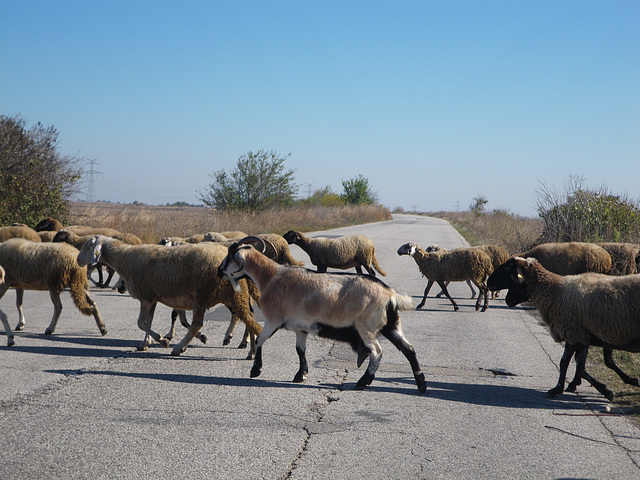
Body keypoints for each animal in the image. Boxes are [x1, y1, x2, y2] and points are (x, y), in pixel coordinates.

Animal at [76, 234, 262, 358]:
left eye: (88, 246)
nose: (77, 260)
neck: (125, 259)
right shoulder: (151, 298)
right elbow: (147, 322)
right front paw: (144, 344)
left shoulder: (145, 297)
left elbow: (141, 323)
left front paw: (162, 341)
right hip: (234, 294)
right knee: (249, 317)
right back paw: (251, 351)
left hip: (204, 295)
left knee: (198, 324)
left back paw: (179, 348)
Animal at [218, 234, 428, 392]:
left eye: (230, 256)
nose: (219, 271)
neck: (271, 277)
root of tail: (391, 295)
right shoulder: (301, 328)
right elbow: (300, 350)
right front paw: (300, 374)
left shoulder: (273, 319)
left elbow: (261, 339)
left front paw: (255, 370)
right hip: (391, 326)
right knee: (409, 349)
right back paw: (421, 385)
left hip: (366, 328)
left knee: (377, 352)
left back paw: (363, 382)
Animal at [488, 256, 640, 400]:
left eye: (507, 268)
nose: (488, 282)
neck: (554, 291)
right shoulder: (582, 336)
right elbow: (580, 365)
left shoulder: (574, 333)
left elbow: (565, 363)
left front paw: (557, 389)